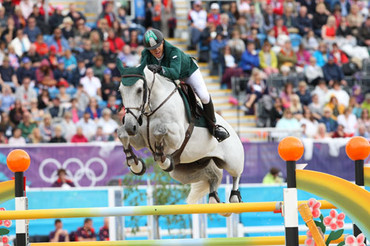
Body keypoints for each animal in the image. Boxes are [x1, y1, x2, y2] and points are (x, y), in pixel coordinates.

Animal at [117, 61, 244, 206]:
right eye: (120, 91)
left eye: (139, 90)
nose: (130, 126)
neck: (151, 109)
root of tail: (234, 130)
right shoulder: (139, 139)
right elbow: (122, 134)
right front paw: (136, 165)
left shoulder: (177, 137)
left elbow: (159, 132)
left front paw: (162, 157)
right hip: (186, 170)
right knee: (213, 176)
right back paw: (213, 198)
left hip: (232, 161)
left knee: (236, 176)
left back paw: (234, 197)